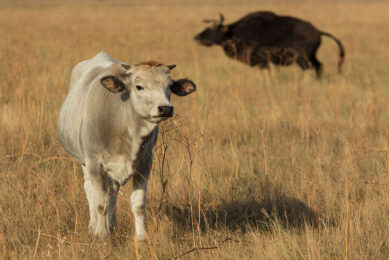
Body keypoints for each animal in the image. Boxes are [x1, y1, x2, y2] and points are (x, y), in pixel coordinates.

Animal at [57, 51, 196, 241]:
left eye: (169, 86)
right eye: (139, 87)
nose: (165, 108)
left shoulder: (144, 166)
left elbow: (138, 204)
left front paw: (141, 238)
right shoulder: (95, 165)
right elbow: (100, 204)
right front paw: (101, 236)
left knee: (112, 192)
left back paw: (112, 224)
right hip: (84, 162)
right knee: (90, 190)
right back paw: (94, 226)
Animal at [194, 11, 346, 77]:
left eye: (211, 29)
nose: (196, 37)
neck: (235, 33)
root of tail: (317, 31)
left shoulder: (263, 62)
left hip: (301, 58)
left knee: (309, 70)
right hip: (312, 56)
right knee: (319, 66)